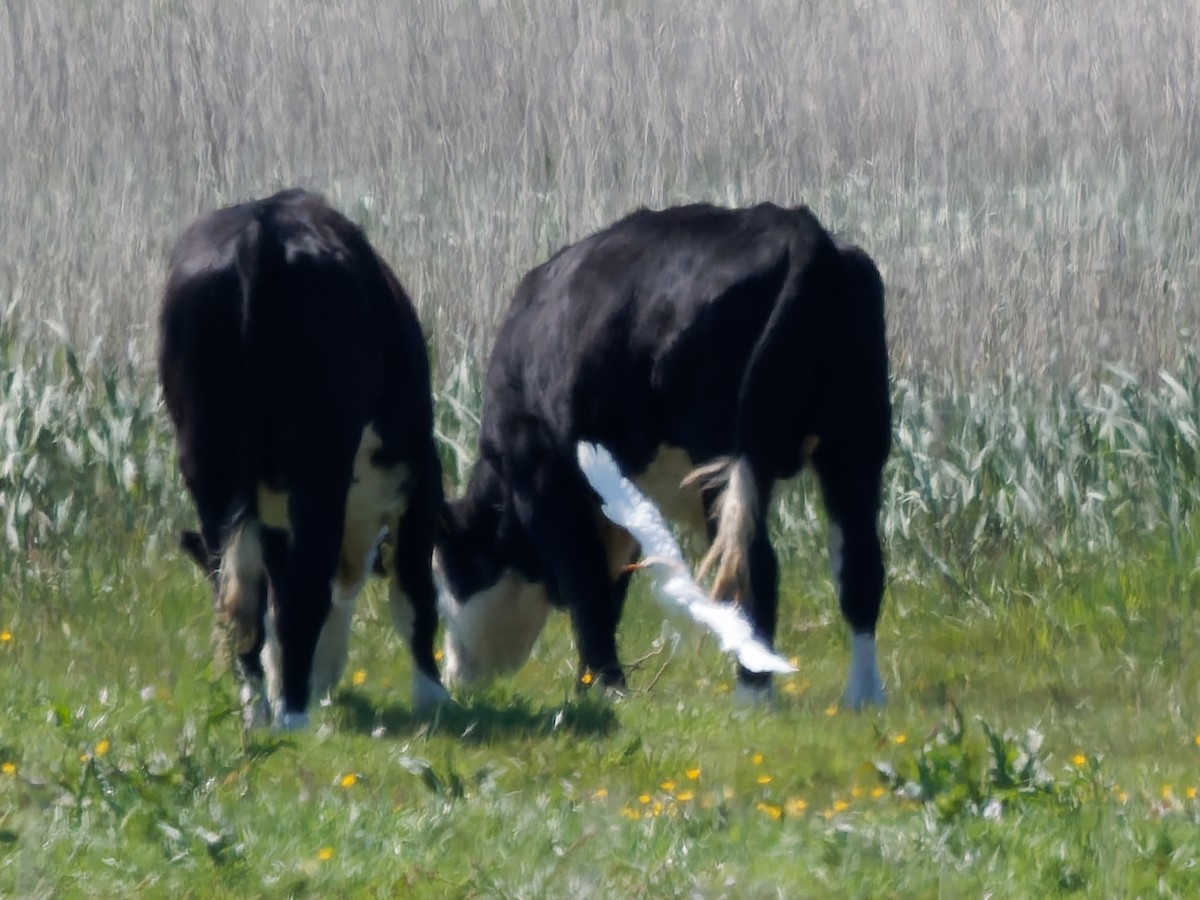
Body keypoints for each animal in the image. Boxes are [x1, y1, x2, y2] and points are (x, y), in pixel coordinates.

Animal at [159, 188, 448, 730]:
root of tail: (260, 226)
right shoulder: (420, 478)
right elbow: (413, 592)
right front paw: (433, 696)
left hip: (207, 461)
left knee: (239, 596)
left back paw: (257, 710)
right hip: (319, 462)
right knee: (305, 587)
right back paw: (293, 714)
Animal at [434, 202, 891, 707]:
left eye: (450, 574)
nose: (455, 675)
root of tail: (800, 228)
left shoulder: (543, 477)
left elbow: (586, 585)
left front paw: (603, 688)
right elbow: (610, 588)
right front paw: (595, 684)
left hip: (726, 461)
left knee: (755, 567)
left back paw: (752, 697)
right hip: (856, 442)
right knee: (860, 566)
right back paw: (863, 696)